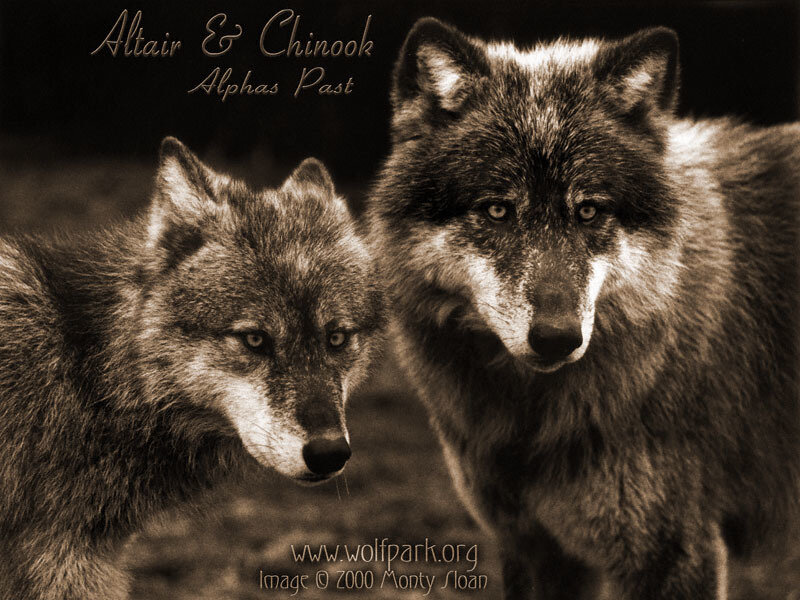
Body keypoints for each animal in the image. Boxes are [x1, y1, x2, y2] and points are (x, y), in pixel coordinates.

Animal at [368, 18, 800, 599]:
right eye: (497, 211)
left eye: (589, 211)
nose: (557, 337)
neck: (530, 418)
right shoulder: (535, 548)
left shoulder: (673, 554)